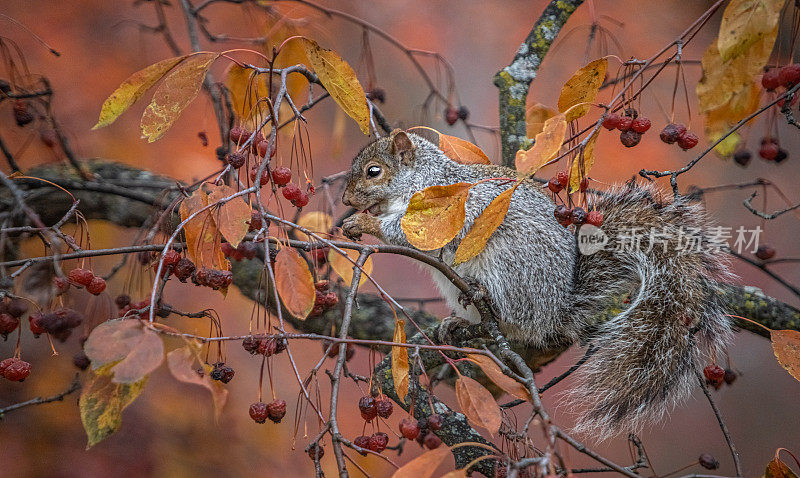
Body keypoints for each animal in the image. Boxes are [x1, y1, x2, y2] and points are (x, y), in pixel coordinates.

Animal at [340, 129, 736, 438]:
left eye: (374, 172)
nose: (345, 199)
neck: (421, 179)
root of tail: (556, 310)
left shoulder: (442, 211)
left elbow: (411, 235)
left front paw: (364, 223)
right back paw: (456, 324)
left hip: (511, 267)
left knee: (514, 316)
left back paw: (486, 299)